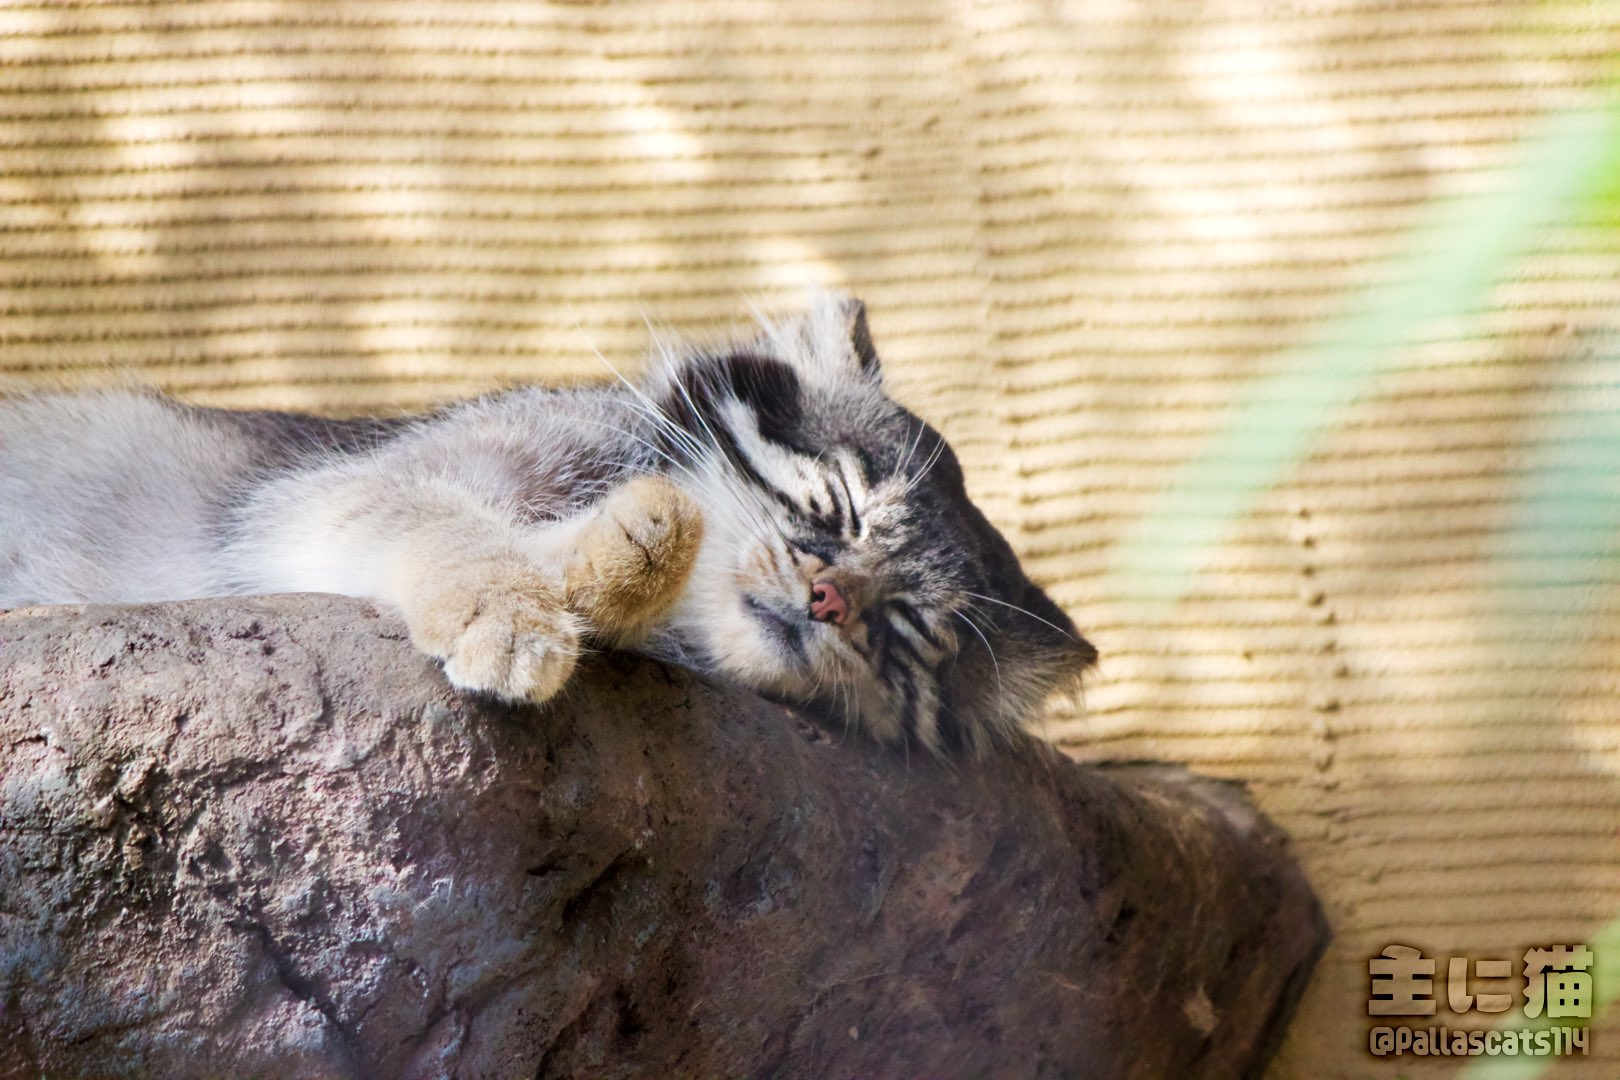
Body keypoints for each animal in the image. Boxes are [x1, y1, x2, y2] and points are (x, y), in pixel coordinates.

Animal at [0, 293, 1095, 751]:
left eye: (910, 628)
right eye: (838, 506)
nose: (829, 598)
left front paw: (616, 562)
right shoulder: (339, 490)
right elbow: (447, 522)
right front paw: (512, 613)